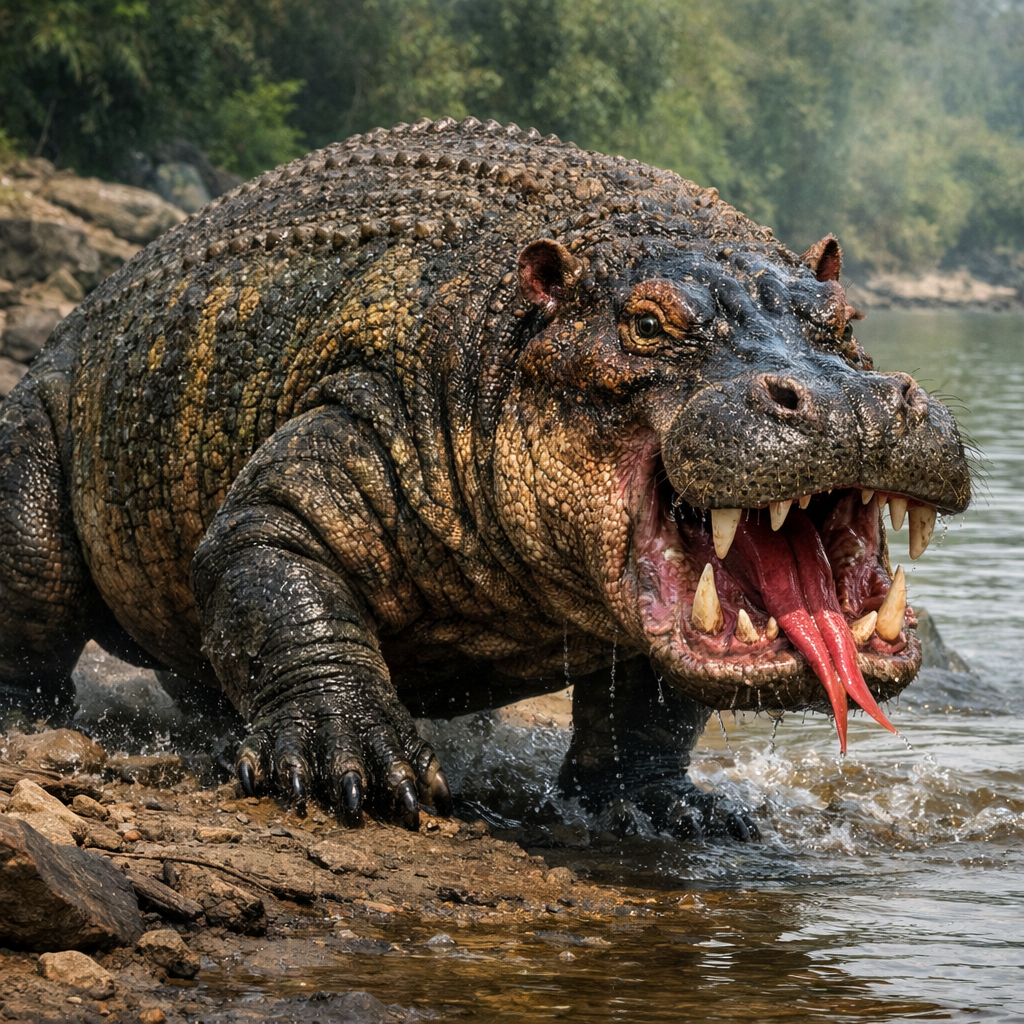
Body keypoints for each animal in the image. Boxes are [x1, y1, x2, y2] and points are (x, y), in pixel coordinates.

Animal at [0, 117, 970, 834]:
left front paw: (671, 811)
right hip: (31, 469)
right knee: (37, 605)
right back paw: (31, 720)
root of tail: (82, 309)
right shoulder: (338, 442)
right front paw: (347, 762)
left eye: (845, 320)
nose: (854, 402)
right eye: (647, 324)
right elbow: (281, 580)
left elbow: (651, 712)